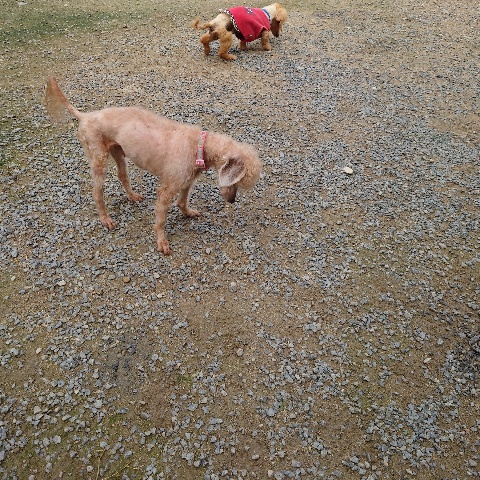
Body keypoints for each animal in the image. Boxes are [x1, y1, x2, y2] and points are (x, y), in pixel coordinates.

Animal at [45, 77, 261, 255]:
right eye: (238, 182)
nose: (232, 201)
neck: (199, 146)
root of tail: (85, 116)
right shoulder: (167, 189)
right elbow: (161, 218)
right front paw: (161, 242)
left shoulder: (185, 180)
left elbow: (183, 201)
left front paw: (188, 213)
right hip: (98, 158)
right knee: (97, 192)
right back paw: (106, 219)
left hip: (118, 152)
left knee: (122, 175)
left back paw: (132, 196)